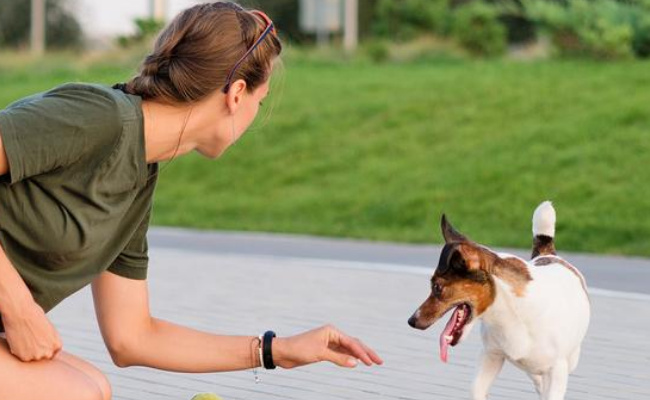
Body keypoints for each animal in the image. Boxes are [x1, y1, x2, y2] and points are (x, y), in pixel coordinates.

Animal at [408, 202, 588, 400]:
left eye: (437, 287)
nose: (411, 320)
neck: (509, 315)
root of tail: (548, 255)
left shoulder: (557, 370)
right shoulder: (491, 355)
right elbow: (477, 389)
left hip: (569, 360)